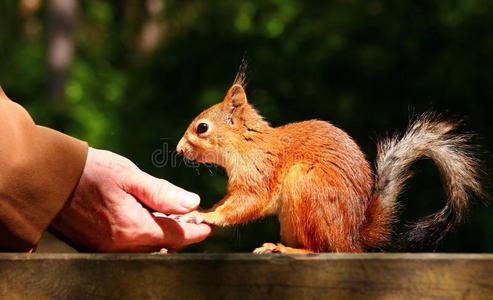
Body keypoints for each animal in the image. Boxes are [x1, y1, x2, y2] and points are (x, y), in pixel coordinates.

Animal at [175, 66, 482, 253]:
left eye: (202, 128)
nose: (178, 150)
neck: (245, 144)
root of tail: (350, 238)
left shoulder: (258, 173)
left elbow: (247, 203)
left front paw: (206, 216)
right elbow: (229, 201)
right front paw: (201, 210)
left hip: (306, 186)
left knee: (319, 248)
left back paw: (285, 248)